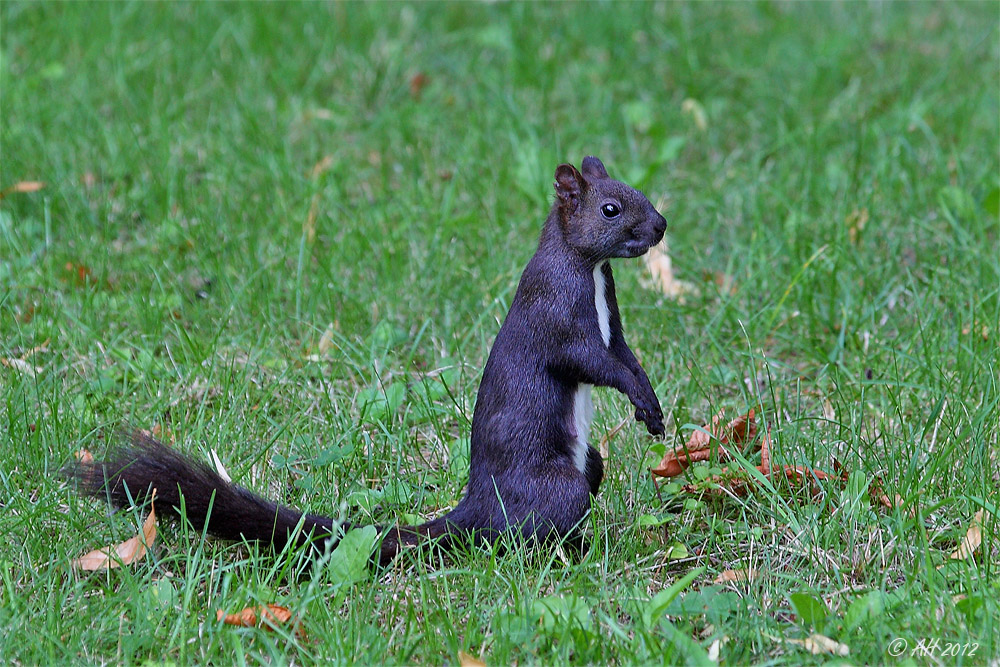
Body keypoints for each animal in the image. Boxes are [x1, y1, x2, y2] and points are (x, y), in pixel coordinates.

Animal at [68, 158, 664, 568]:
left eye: (639, 191)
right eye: (611, 209)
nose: (660, 225)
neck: (588, 270)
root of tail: (478, 509)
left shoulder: (612, 322)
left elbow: (625, 357)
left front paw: (652, 408)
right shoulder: (557, 317)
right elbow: (595, 363)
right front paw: (641, 401)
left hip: (589, 465)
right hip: (557, 487)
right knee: (522, 534)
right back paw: (572, 549)